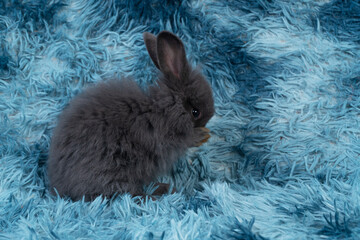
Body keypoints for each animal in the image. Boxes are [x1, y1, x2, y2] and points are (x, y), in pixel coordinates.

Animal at [48, 31, 217, 202]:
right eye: (195, 112)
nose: (207, 123)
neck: (164, 109)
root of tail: (60, 189)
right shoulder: (163, 138)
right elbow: (183, 140)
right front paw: (201, 135)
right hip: (115, 172)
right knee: (128, 195)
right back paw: (160, 192)